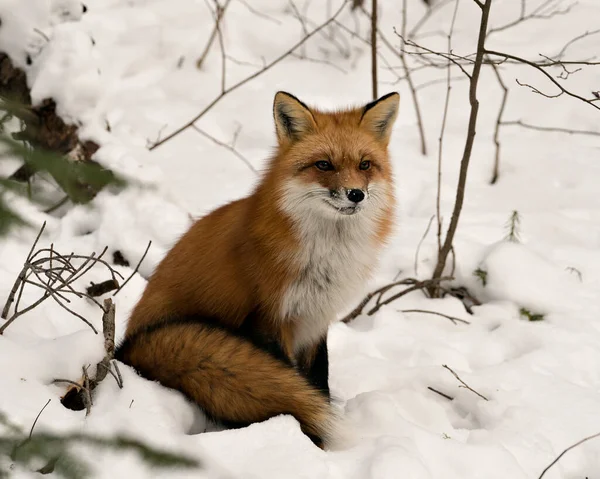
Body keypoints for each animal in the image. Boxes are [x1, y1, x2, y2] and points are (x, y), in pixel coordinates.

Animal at [115, 91, 400, 450]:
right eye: (324, 164)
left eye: (365, 165)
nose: (356, 194)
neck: (325, 256)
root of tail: (124, 349)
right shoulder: (270, 319)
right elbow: (296, 384)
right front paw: (314, 444)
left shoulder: (315, 320)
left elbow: (318, 381)